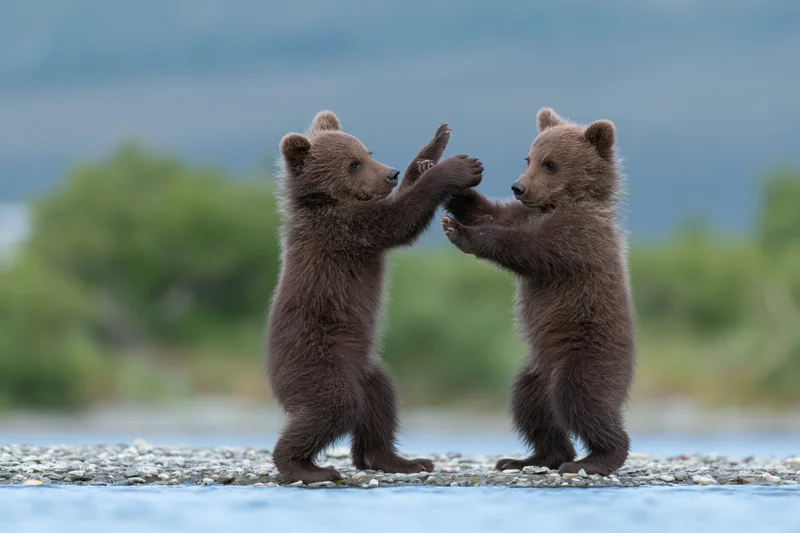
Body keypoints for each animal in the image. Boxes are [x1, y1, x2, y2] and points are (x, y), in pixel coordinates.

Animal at [267, 110, 484, 483]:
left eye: (368, 152)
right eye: (353, 164)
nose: (390, 172)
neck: (328, 201)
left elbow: (402, 204)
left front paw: (431, 149)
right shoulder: (346, 229)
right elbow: (398, 219)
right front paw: (457, 167)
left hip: (367, 371)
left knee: (380, 404)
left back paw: (401, 460)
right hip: (317, 362)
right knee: (332, 408)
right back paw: (306, 466)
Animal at [440, 108, 634, 476]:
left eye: (551, 163)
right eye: (528, 158)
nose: (519, 186)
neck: (559, 203)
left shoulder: (577, 236)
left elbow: (527, 248)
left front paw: (461, 232)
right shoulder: (524, 214)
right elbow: (495, 213)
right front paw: (456, 193)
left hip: (588, 356)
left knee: (582, 400)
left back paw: (598, 458)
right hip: (535, 374)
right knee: (532, 408)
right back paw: (529, 457)